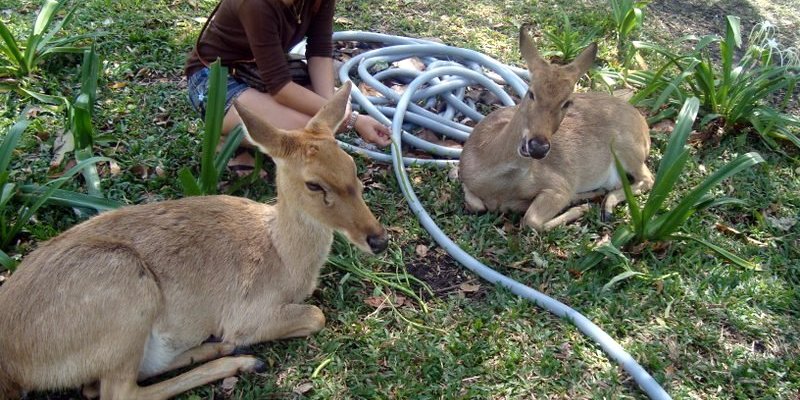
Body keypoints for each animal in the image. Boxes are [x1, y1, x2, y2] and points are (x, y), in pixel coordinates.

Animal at [0, 81, 388, 400]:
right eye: (313, 184)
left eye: (352, 166)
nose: (378, 239)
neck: (282, 257)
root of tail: (12, 368)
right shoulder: (248, 311)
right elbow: (315, 315)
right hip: (126, 291)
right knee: (117, 392)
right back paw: (242, 360)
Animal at [460, 25, 652, 231]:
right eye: (531, 93)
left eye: (567, 102)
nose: (538, 147)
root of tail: (643, 125)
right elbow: (477, 204)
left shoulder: (559, 184)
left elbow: (532, 220)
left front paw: (580, 208)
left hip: (627, 147)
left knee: (648, 178)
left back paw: (603, 206)